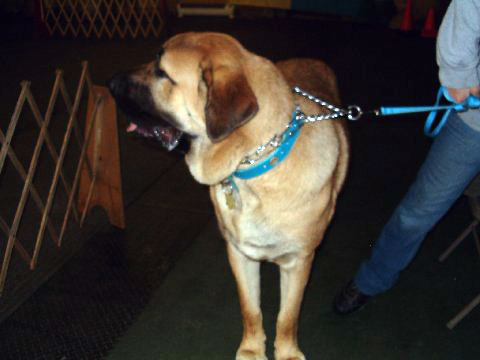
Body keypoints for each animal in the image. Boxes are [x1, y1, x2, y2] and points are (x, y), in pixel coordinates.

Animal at [109, 32, 348, 358]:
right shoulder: (239, 253)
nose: (109, 83)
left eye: (162, 72)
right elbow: (251, 309)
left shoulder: (298, 261)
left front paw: (286, 352)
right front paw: (251, 350)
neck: (256, 162)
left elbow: (287, 317)